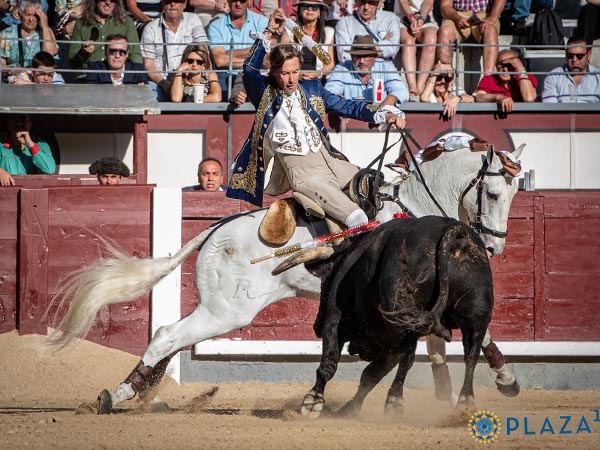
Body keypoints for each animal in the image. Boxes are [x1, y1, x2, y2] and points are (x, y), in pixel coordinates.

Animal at [280, 216, 492, 416]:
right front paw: (349, 409)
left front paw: (312, 401)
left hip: (398, 312)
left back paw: (394, 401)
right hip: (477, 316)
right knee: (470, 355)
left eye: (325, 283)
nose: (316, 326)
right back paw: (463, 403)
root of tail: (453, 231)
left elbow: (331, 361)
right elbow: (371, 375)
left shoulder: (335, 319)